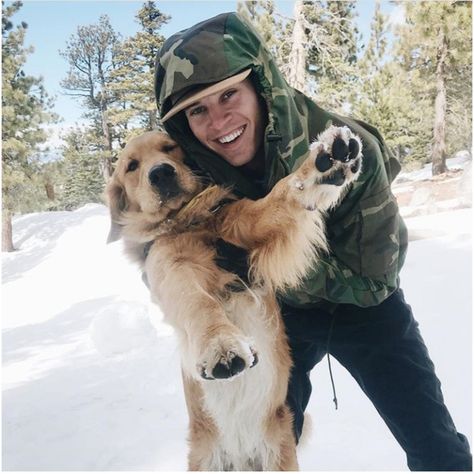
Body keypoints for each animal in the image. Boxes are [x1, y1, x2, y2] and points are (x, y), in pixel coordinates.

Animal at [105, 126, 362, 470]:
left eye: (170, 147)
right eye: (132, 166)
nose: (160, 173)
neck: (191, 221)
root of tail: (241, 455)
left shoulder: (247, 223)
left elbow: (283, 193)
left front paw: (326, 163)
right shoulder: (170, 266)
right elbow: (198, 302)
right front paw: (220, 345)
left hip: (279, 451)